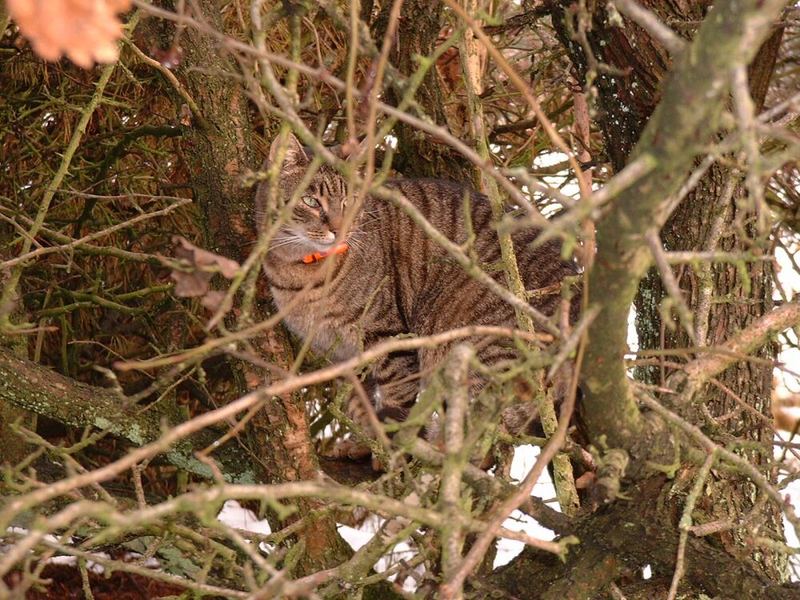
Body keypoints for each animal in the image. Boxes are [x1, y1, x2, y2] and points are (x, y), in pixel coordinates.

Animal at [260, 134, 580, 458]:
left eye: (349, 202)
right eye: (311, 202)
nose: (339, 229)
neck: (301, 273)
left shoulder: (387, 337)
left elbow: (396, 398)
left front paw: (392, 453)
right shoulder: (341, 356)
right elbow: (359, 404)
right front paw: (366, 443)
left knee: (488, 429)